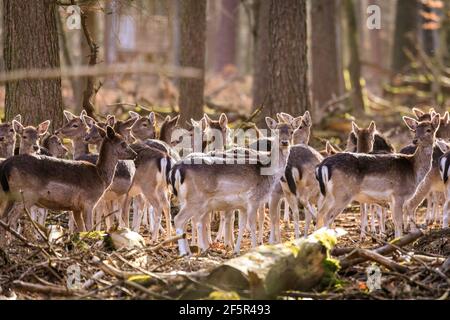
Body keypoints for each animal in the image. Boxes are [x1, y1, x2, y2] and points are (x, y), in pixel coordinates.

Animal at [171, 117, 298, 255]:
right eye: (276, 131)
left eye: (292, 131)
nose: (284, 142)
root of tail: (177, 168)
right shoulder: (254, 199)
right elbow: (253, 224)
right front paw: (254, 247)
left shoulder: (242, 205)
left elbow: (242, 225)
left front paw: (236, 250)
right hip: (195, 199)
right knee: (179, 219)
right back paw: (186, 253)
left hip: (184, 199)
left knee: (187, 222)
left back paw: (192, 250)